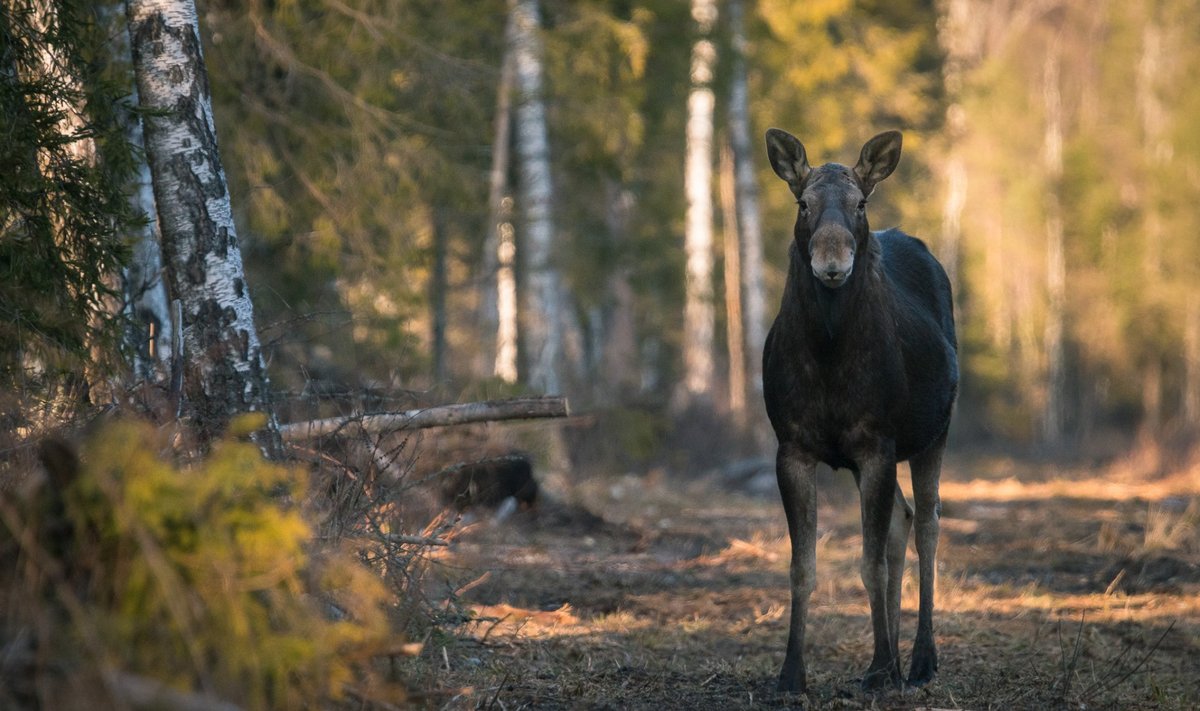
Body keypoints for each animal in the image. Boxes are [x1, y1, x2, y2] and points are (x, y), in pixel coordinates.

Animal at [763, 129, 960, 696]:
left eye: (860, 204)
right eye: (803, 204)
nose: (831, 261)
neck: (829, 355)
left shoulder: (878, 443)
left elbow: (869, 565)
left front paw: (883, 667)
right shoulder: (792, 447)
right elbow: (802, 567)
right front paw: (792, 674)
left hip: (935, 430)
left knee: (928, 521)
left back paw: (918, 660)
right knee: (902, 519)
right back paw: (889, 658)